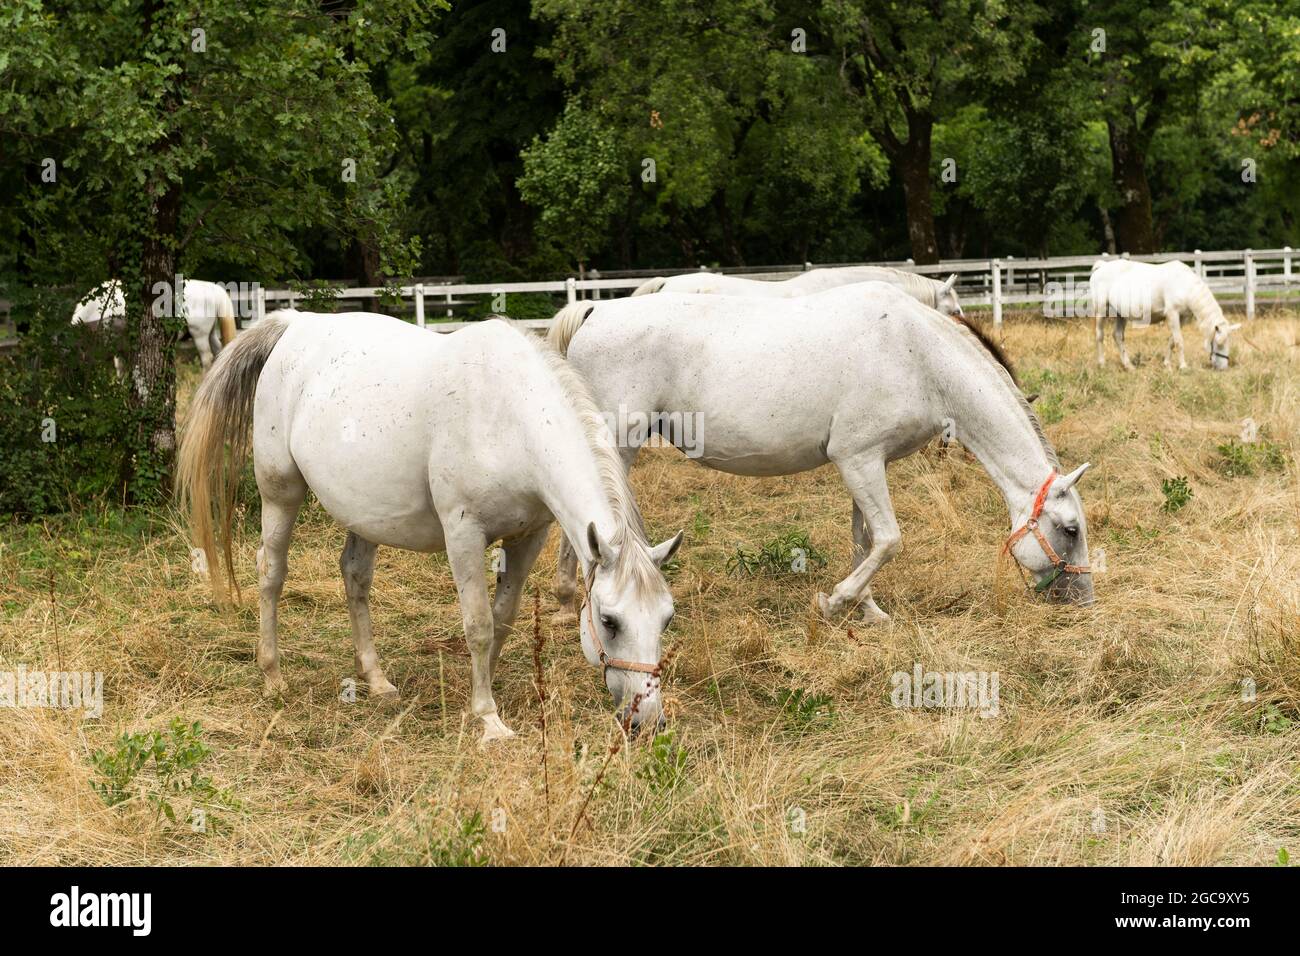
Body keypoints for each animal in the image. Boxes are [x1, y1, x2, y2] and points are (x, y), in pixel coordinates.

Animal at [176, 310, 681, 741]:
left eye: (666, 618)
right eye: (609, 621)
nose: (647, 723)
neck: (509, 416)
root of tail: (295, 325)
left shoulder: (527, 538)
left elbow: (502, 618)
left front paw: (481, 691)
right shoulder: (464, 534)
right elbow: (477, 623)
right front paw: (488, 718)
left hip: (365, 512)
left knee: (354, 577)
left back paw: (375, 679)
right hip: (280, 493)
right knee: (271, 573)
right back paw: (273, 676)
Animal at [547, 283, 1095, 624]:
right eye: (1070, 530)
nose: (1083, 600)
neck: (919, 356)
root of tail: (597, 311)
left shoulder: (867, 462)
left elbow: (865, 540)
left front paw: (868, 611)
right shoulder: (858, 461)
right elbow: (889, 540)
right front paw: (835, 603)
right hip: (616, 445)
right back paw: (576, 598)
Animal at [1089, 259, 1240, 371]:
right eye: (1218, 343)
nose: (1223, 367)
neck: (1184, 285)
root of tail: (1102, 266)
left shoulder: (1182, 318)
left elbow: (1172, 340)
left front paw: (1167, 364)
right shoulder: (1172, 314)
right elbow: (1179, 341)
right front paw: (1183, 366)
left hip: (1121, 314)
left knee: (1118, 336)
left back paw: (1129, 366)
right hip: (1101, 310)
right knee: (1100, 335)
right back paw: (1102, 364)